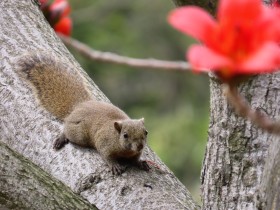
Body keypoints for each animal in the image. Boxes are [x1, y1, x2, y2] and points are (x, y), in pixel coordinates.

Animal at [16, 53, 150, 175]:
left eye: (146, 132)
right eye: (125, 135)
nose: (140, 146)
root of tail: (78, 106)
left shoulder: (135, 153)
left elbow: (135, 159)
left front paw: (140, 163)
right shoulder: (104, 142)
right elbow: (107, 156)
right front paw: (114, 165)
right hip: (79, 134)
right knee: (68, 131)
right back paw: (61, 138)